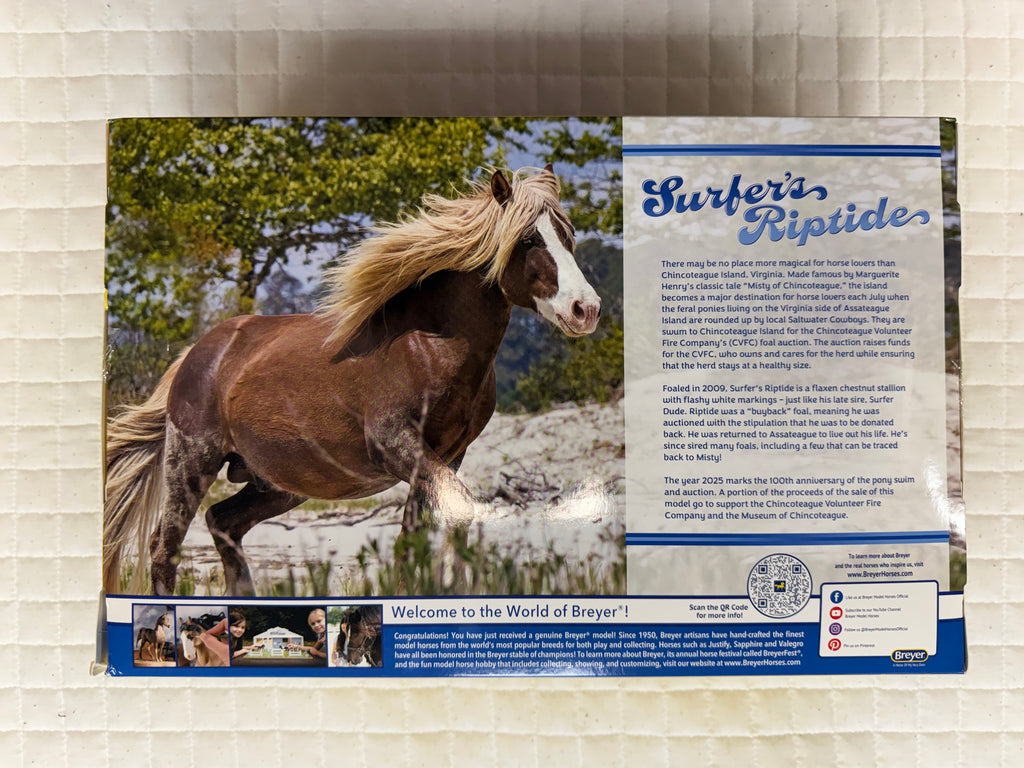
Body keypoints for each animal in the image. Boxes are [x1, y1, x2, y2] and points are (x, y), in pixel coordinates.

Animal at [103, 165, 601, 596]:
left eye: (569, 236)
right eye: (528, 238)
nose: (586, 309)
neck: (429, 346)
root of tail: (198, 353)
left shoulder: (446, 457)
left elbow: (414, 539)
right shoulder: (397, 445)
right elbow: (457, 510)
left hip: (278, 484)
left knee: (222, 523)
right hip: (192, 462)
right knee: (165, 547)